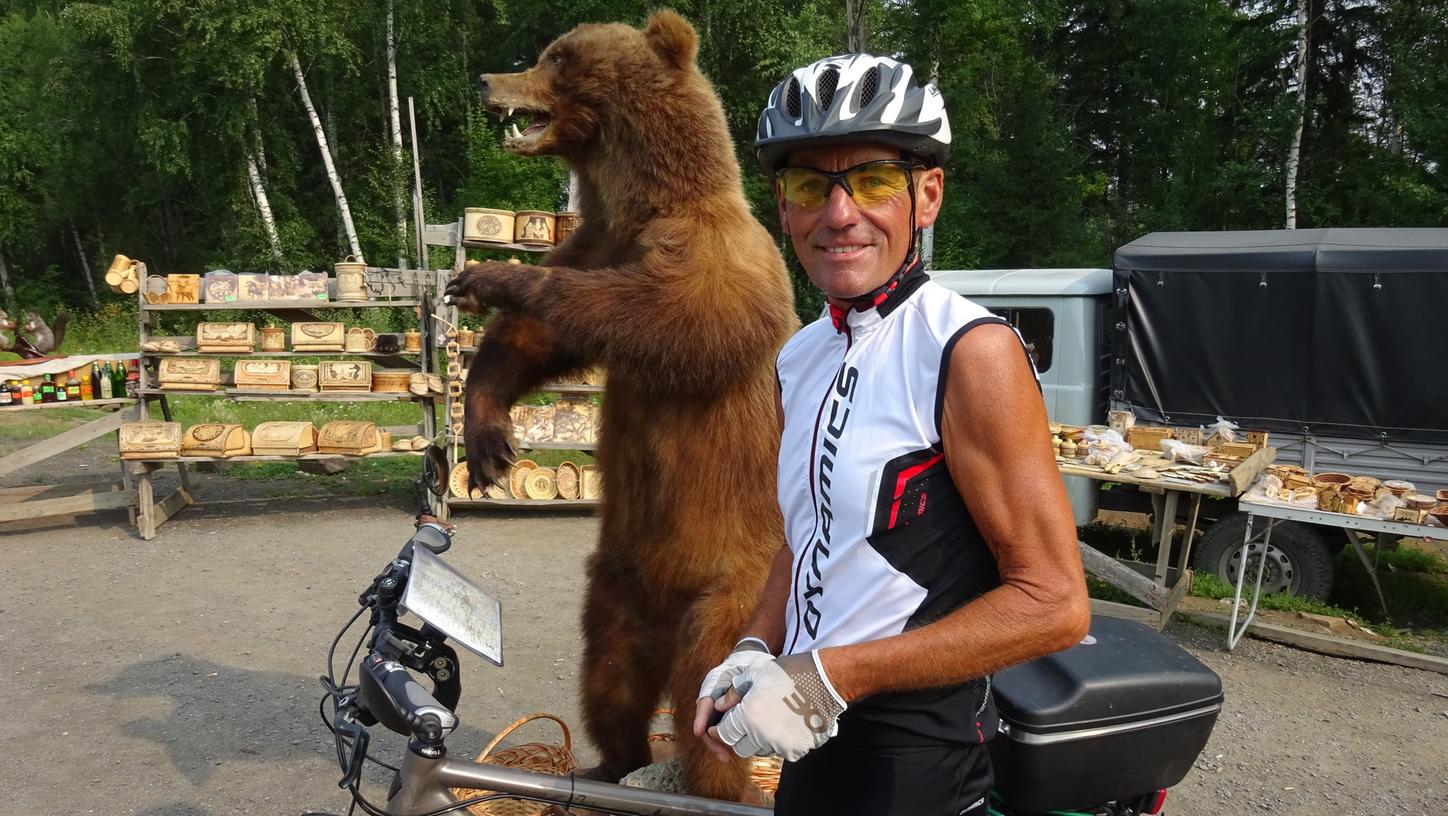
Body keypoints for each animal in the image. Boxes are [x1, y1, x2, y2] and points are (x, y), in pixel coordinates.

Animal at [445, 7, 799, 804]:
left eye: (558, 57)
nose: (484, 78)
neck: (641, 203)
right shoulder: (599, 238)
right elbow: (537, 341)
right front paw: (488, 438)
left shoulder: (721, 264)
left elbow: (660, 315)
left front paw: (489, 275)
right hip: (619, 580)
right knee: (609, 674)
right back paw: (609, 761)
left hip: (740, 586)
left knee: (706, 687)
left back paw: (715, 784)